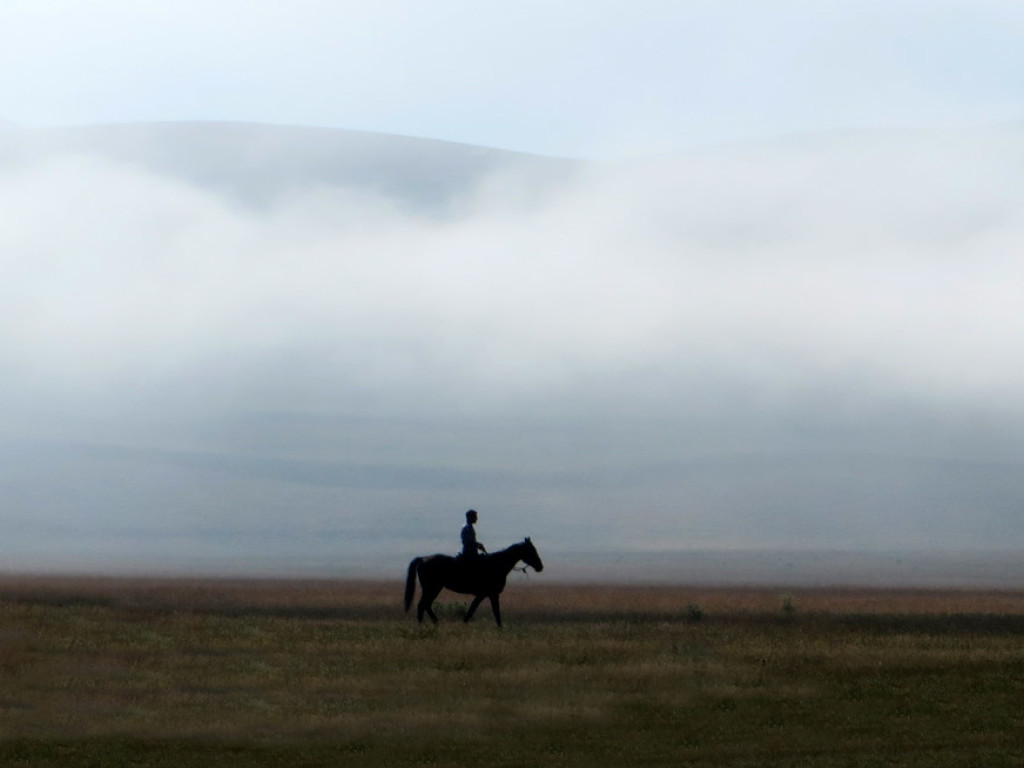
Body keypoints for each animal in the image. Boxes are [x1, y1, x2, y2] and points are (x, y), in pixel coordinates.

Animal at [403, 536, 544, 626]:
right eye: (531, 550)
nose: (540, 567)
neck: (497, 564)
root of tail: (422, 559)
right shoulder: (492, 594)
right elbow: (495, 612)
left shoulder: (482, 595)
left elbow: (472, 610)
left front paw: (464, 624)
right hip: (432, 588)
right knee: (423, 605)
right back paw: (426, 625)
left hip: (434, 588)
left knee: (425, 605)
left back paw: (433, 623)